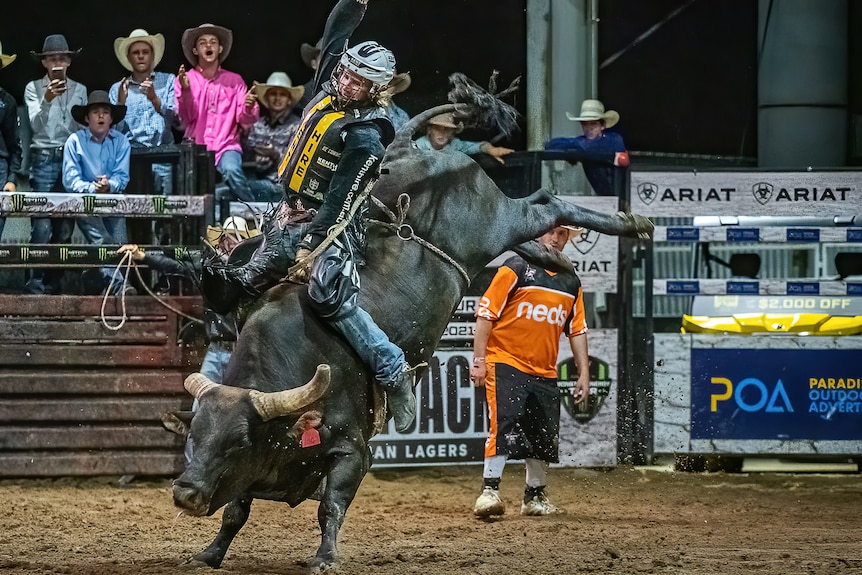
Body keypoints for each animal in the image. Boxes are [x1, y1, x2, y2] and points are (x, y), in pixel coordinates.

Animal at [170, 102, 656, 572]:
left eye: (238, 441)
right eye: (194, 433)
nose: (185, 493)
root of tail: (415, 148)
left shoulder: (353, 452)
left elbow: (330, 506)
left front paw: (325, 558)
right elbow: (236, 511)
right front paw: (209, 554)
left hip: (498, 221)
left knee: (547, 203)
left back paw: (633, 222)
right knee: (538, 217)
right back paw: (559, 259)